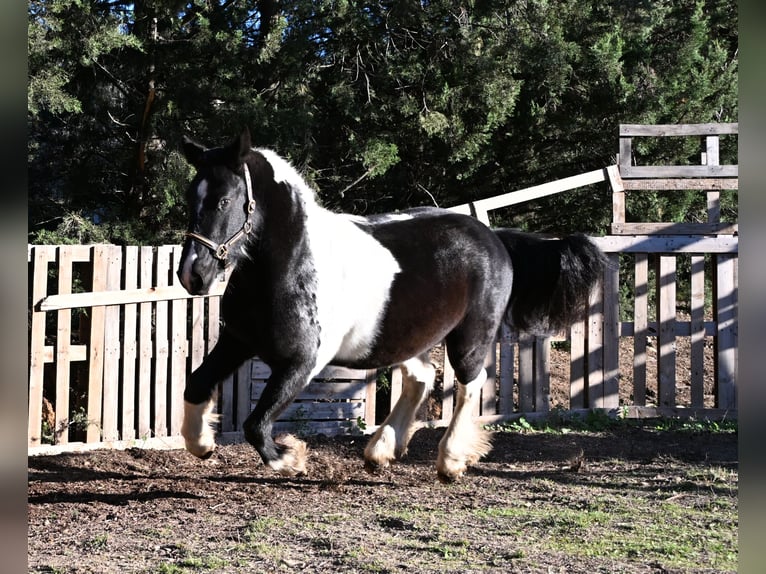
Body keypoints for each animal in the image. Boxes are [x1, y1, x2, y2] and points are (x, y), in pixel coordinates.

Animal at [176, 127, 606, 482]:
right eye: (190, 197)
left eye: (224, 201)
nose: (192, 274)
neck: (291, 263)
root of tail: (493, 237)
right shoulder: (238, 340)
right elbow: (196, 385)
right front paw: (204, 443)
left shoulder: (301, 362)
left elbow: (256, 424)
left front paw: (292, 457)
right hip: (405, 337)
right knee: (422, 376)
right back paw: (382, 451)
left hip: (469, 337)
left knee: (470, 384)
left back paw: (450, 462)